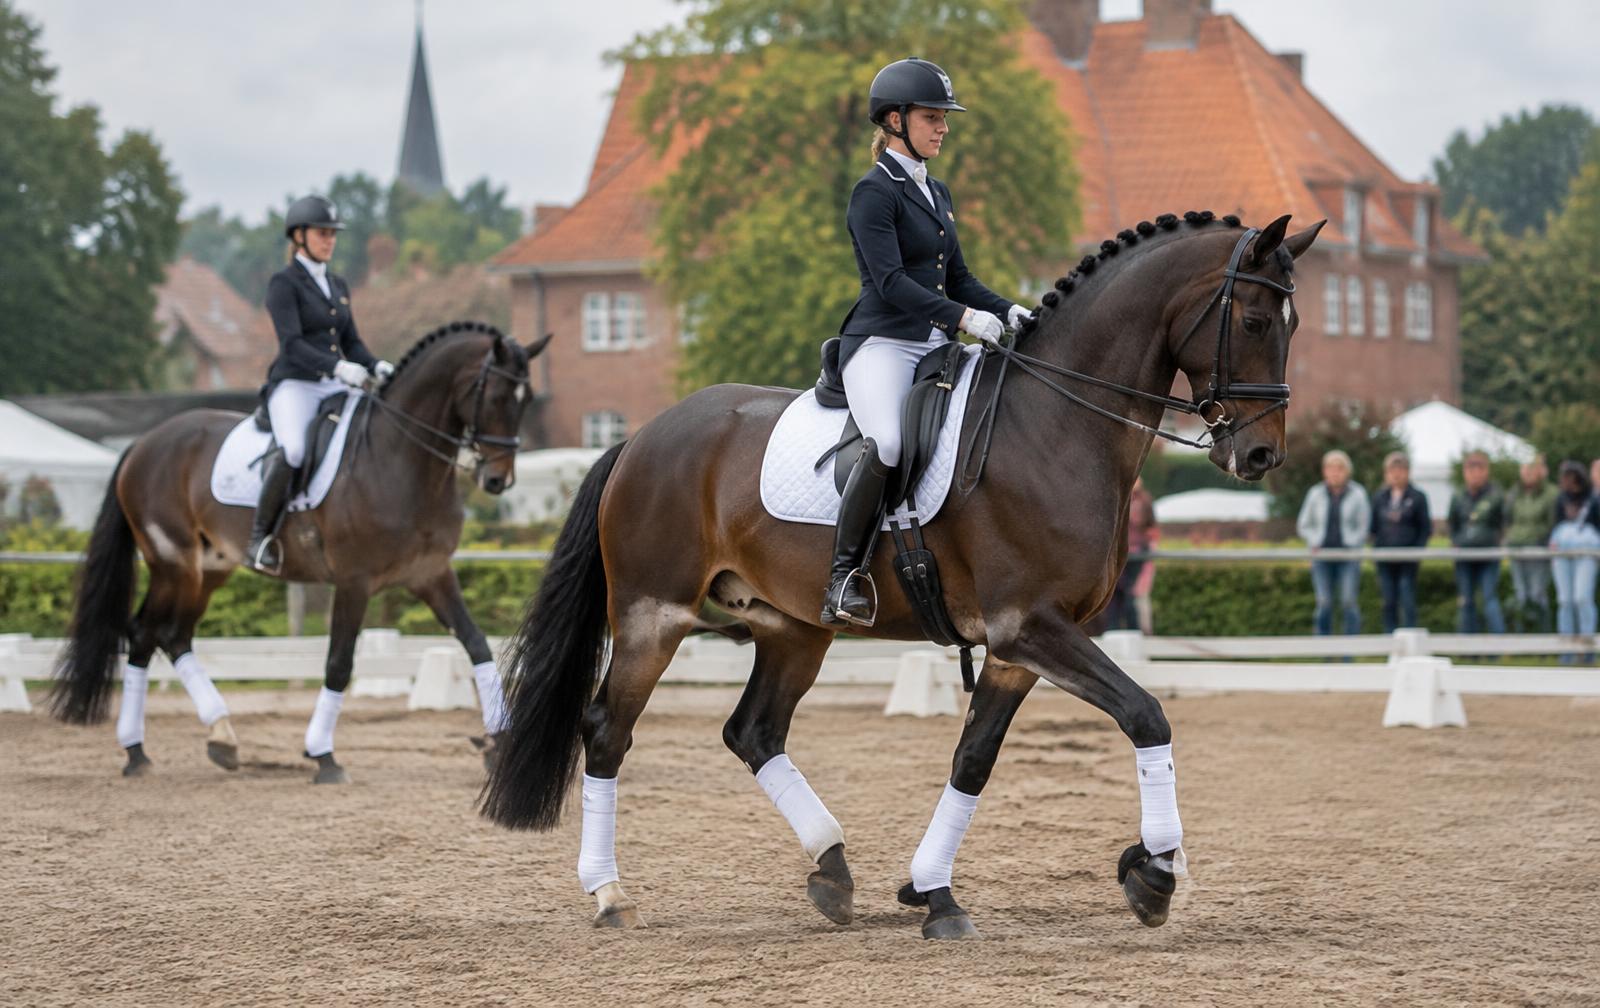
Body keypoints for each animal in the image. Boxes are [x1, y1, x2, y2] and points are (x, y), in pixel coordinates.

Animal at [48, 321, 546, 784]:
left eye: (525, 401)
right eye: (495, 395)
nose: (498, 480)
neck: (401, 459)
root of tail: (144, 442)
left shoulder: (432, 574)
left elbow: (477, 644)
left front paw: (499, 744)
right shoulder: (354, 581)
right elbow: (339, 663)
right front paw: (323, 756)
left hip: (210, 568)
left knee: (169, 636)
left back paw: (216, 739)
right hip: (175, 563)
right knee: (145, 634)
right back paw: (138, 752)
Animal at [481, 211, 1324, 937]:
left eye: (1292, 326)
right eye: (1254, 322)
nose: (1260, 455)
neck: (1056, 426)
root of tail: (642, 437)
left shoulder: (1021, 648)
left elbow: (973, 760)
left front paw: (933, 891)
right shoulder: (1031, 626)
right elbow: (1147, 715)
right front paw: (1154, 874)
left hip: (791, 627)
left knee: (753, 731)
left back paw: (831, 870)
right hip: (653, 615)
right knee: (607, 730)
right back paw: (608, 893)